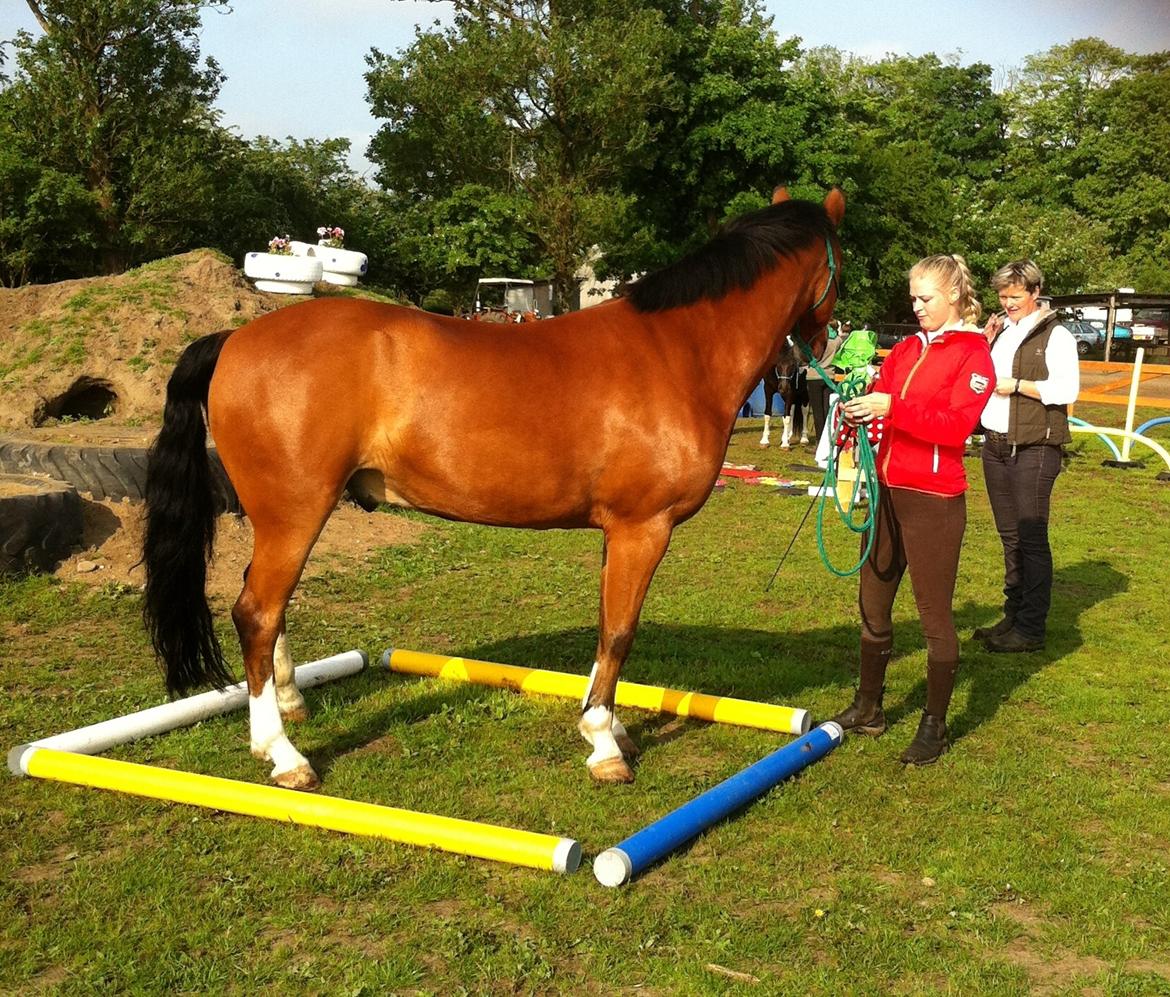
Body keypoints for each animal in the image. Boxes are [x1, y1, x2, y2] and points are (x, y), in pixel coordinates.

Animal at [143, 187, 842, 791]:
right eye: (843, 263)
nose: (819, 351)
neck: (676, 350)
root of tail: (236, 337)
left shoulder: (617, 533)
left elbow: (606, 626)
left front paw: (610, 725)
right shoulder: (644, 528)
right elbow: (620, 631)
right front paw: (604, 744)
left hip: (285, 517)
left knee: (267, 607)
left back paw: (289, 705)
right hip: (294, 512)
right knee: (256, 612)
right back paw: (283, 755)